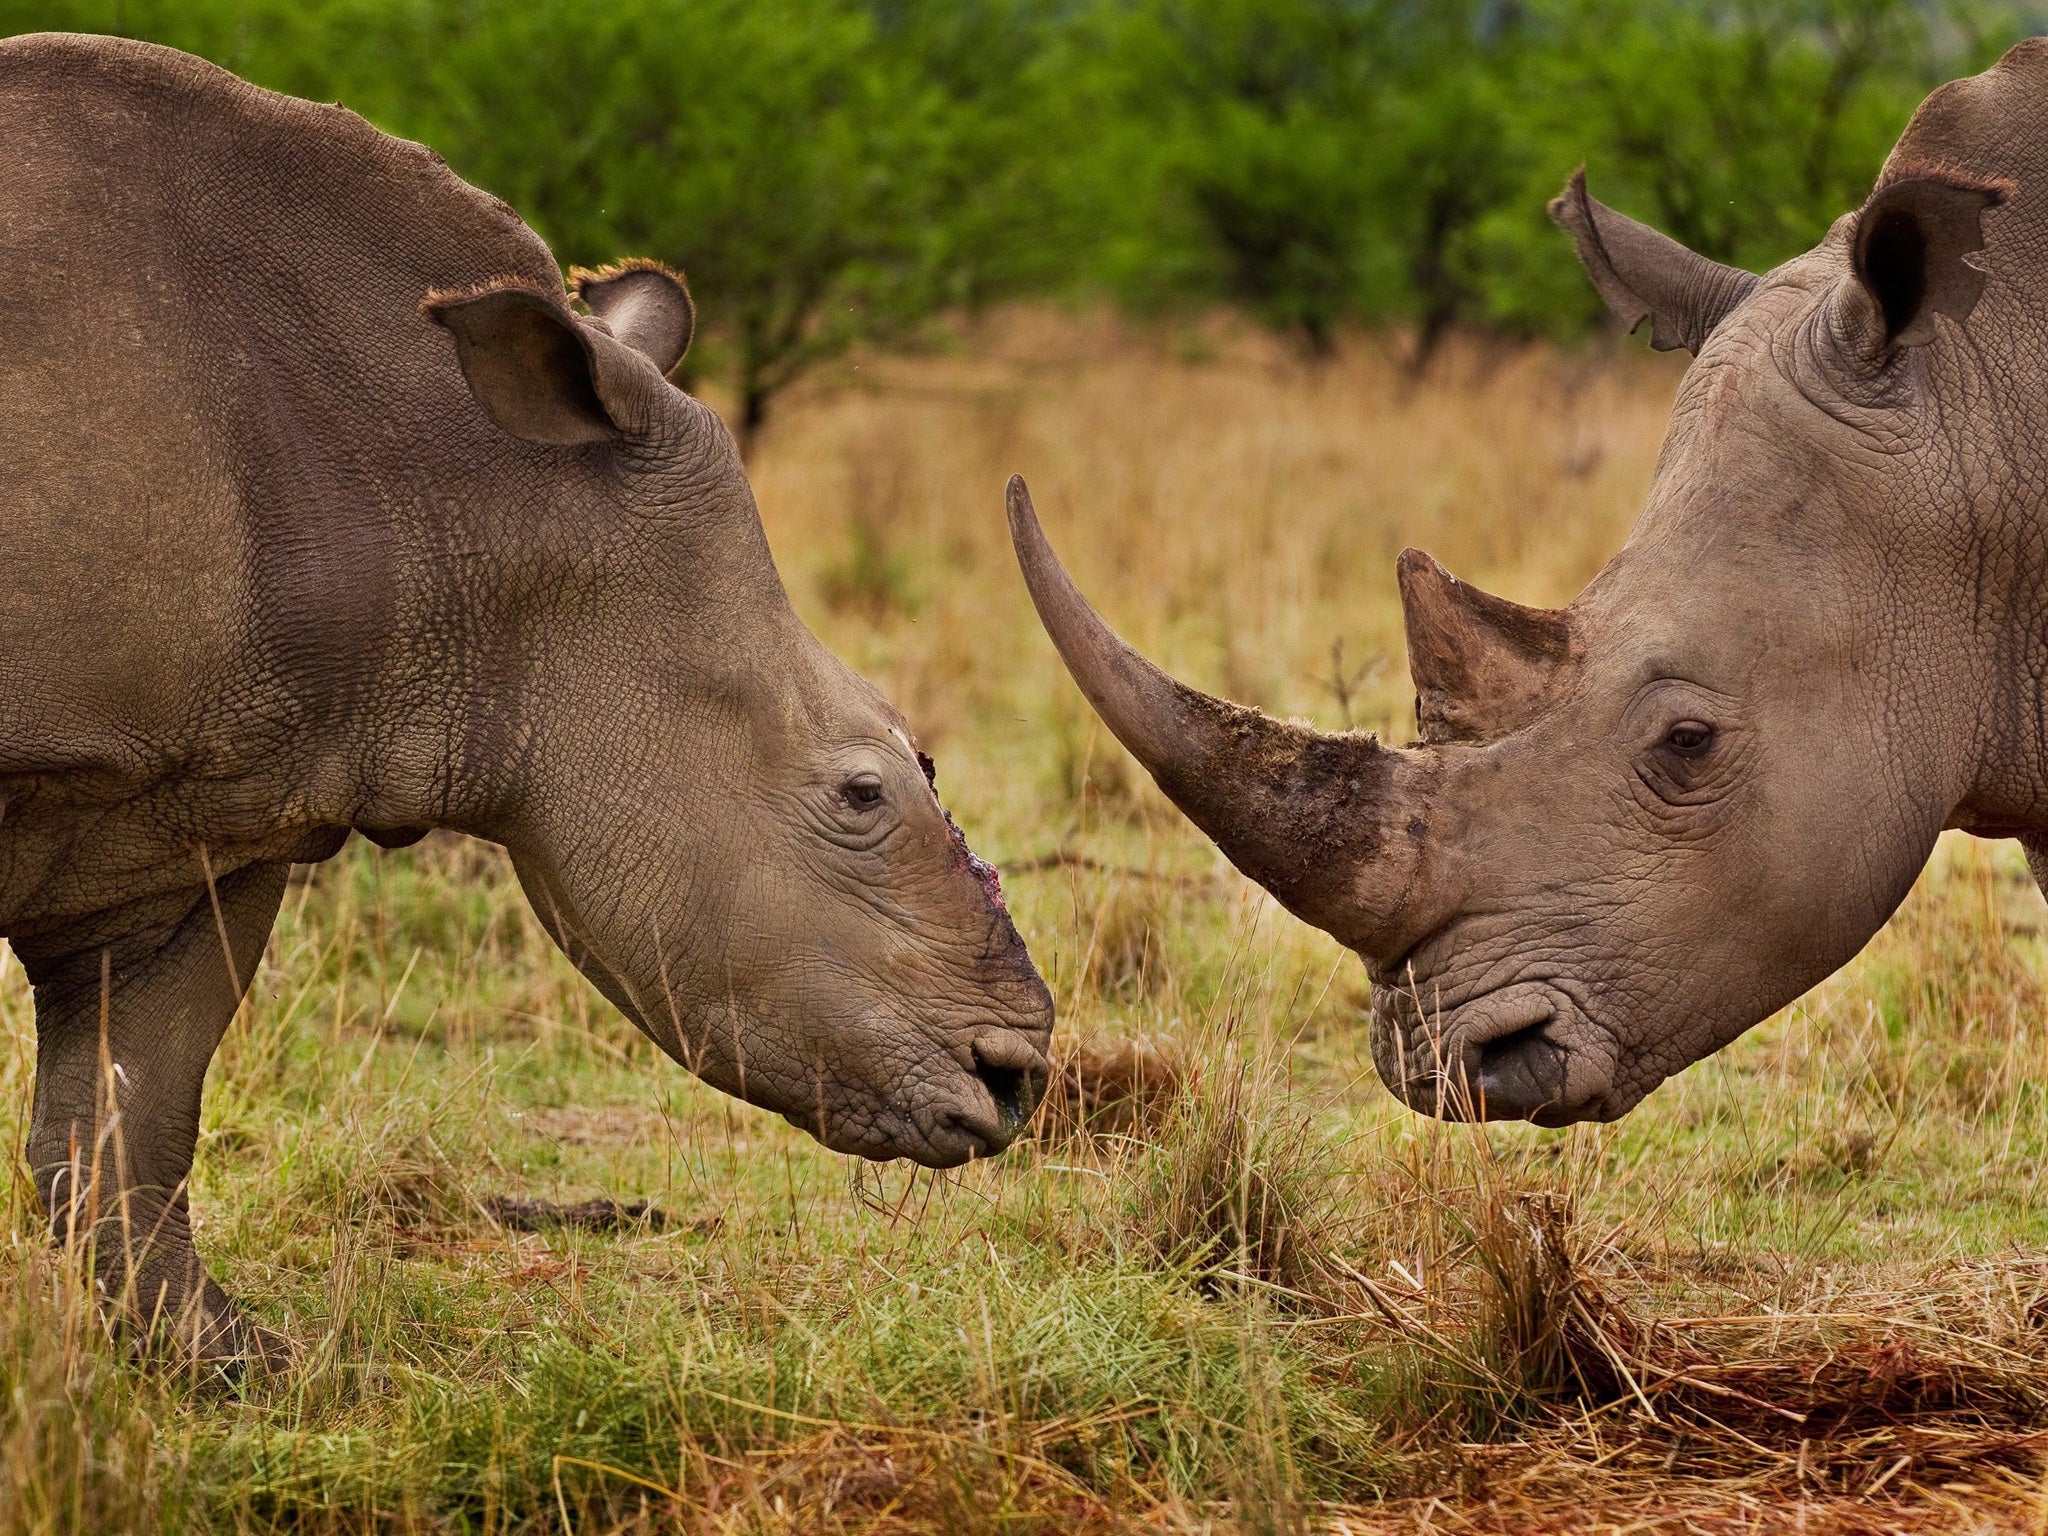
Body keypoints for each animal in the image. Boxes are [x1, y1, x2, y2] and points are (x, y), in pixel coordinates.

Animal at [0, 30, 1048, 1368]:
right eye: (860, 792)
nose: (1015, 1073)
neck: (476, 492)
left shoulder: (210, 808)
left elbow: (128, 1122)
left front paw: (247, 1371)